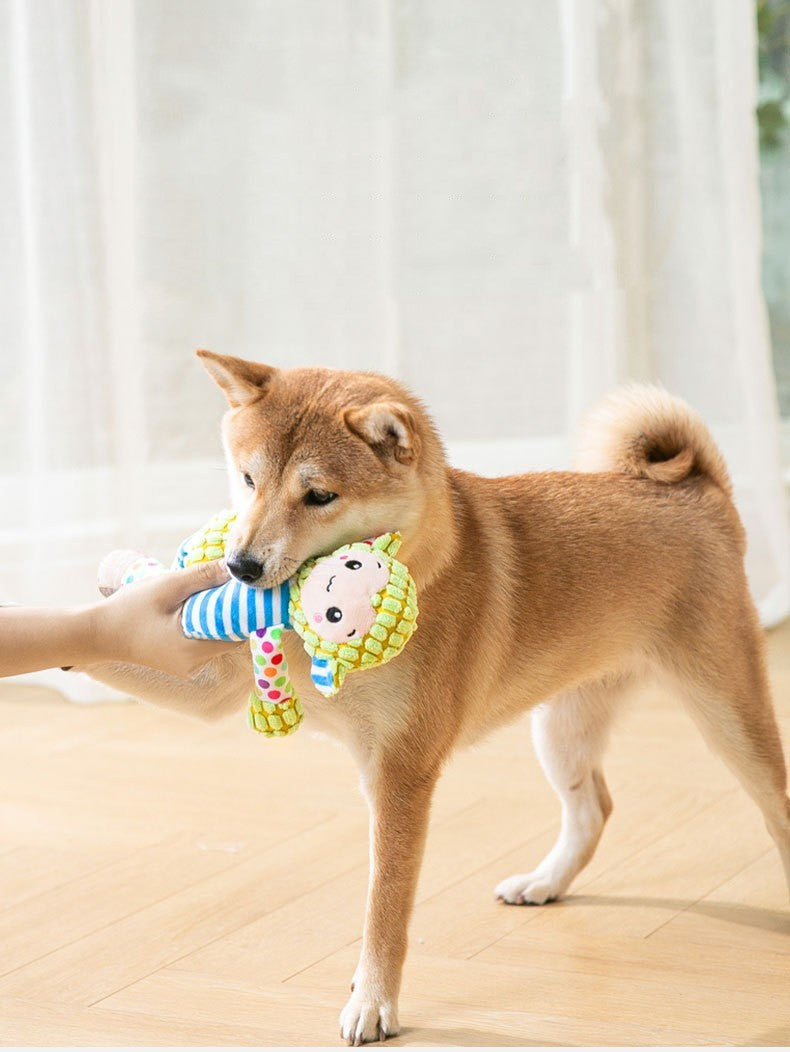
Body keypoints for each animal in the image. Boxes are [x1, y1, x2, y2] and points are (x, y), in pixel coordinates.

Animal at [86, 351, 790, 1043]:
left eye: (319, 495)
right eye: (249, 479)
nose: (240, 567)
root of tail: (701, 490)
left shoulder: (401, 772)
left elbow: (385, 907)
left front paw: (373, 1003)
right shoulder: (216, 687)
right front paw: (98, 599)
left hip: (728, 715)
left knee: (774, 806)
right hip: (561, 729)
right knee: (593, 810)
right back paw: (544, 882)